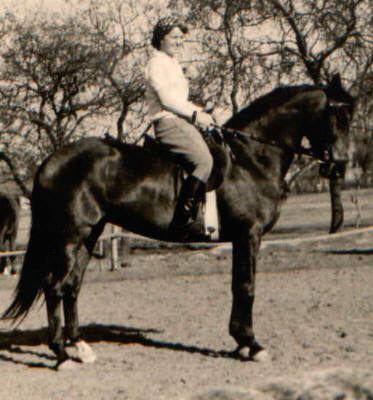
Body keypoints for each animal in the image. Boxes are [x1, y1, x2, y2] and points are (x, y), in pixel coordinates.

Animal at [1, 73, 354, 368]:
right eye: (340, 116)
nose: (339, 166)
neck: (250, 158)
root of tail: (51, 161)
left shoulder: (240, 238)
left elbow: (238, 286)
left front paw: (241, 342)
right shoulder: (249, 235)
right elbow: (246, 286)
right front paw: (251, 345)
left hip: (90, 235)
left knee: (72, 286)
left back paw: (80, 348)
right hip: (70, 236)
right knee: (55, 286)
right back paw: (60, 354)